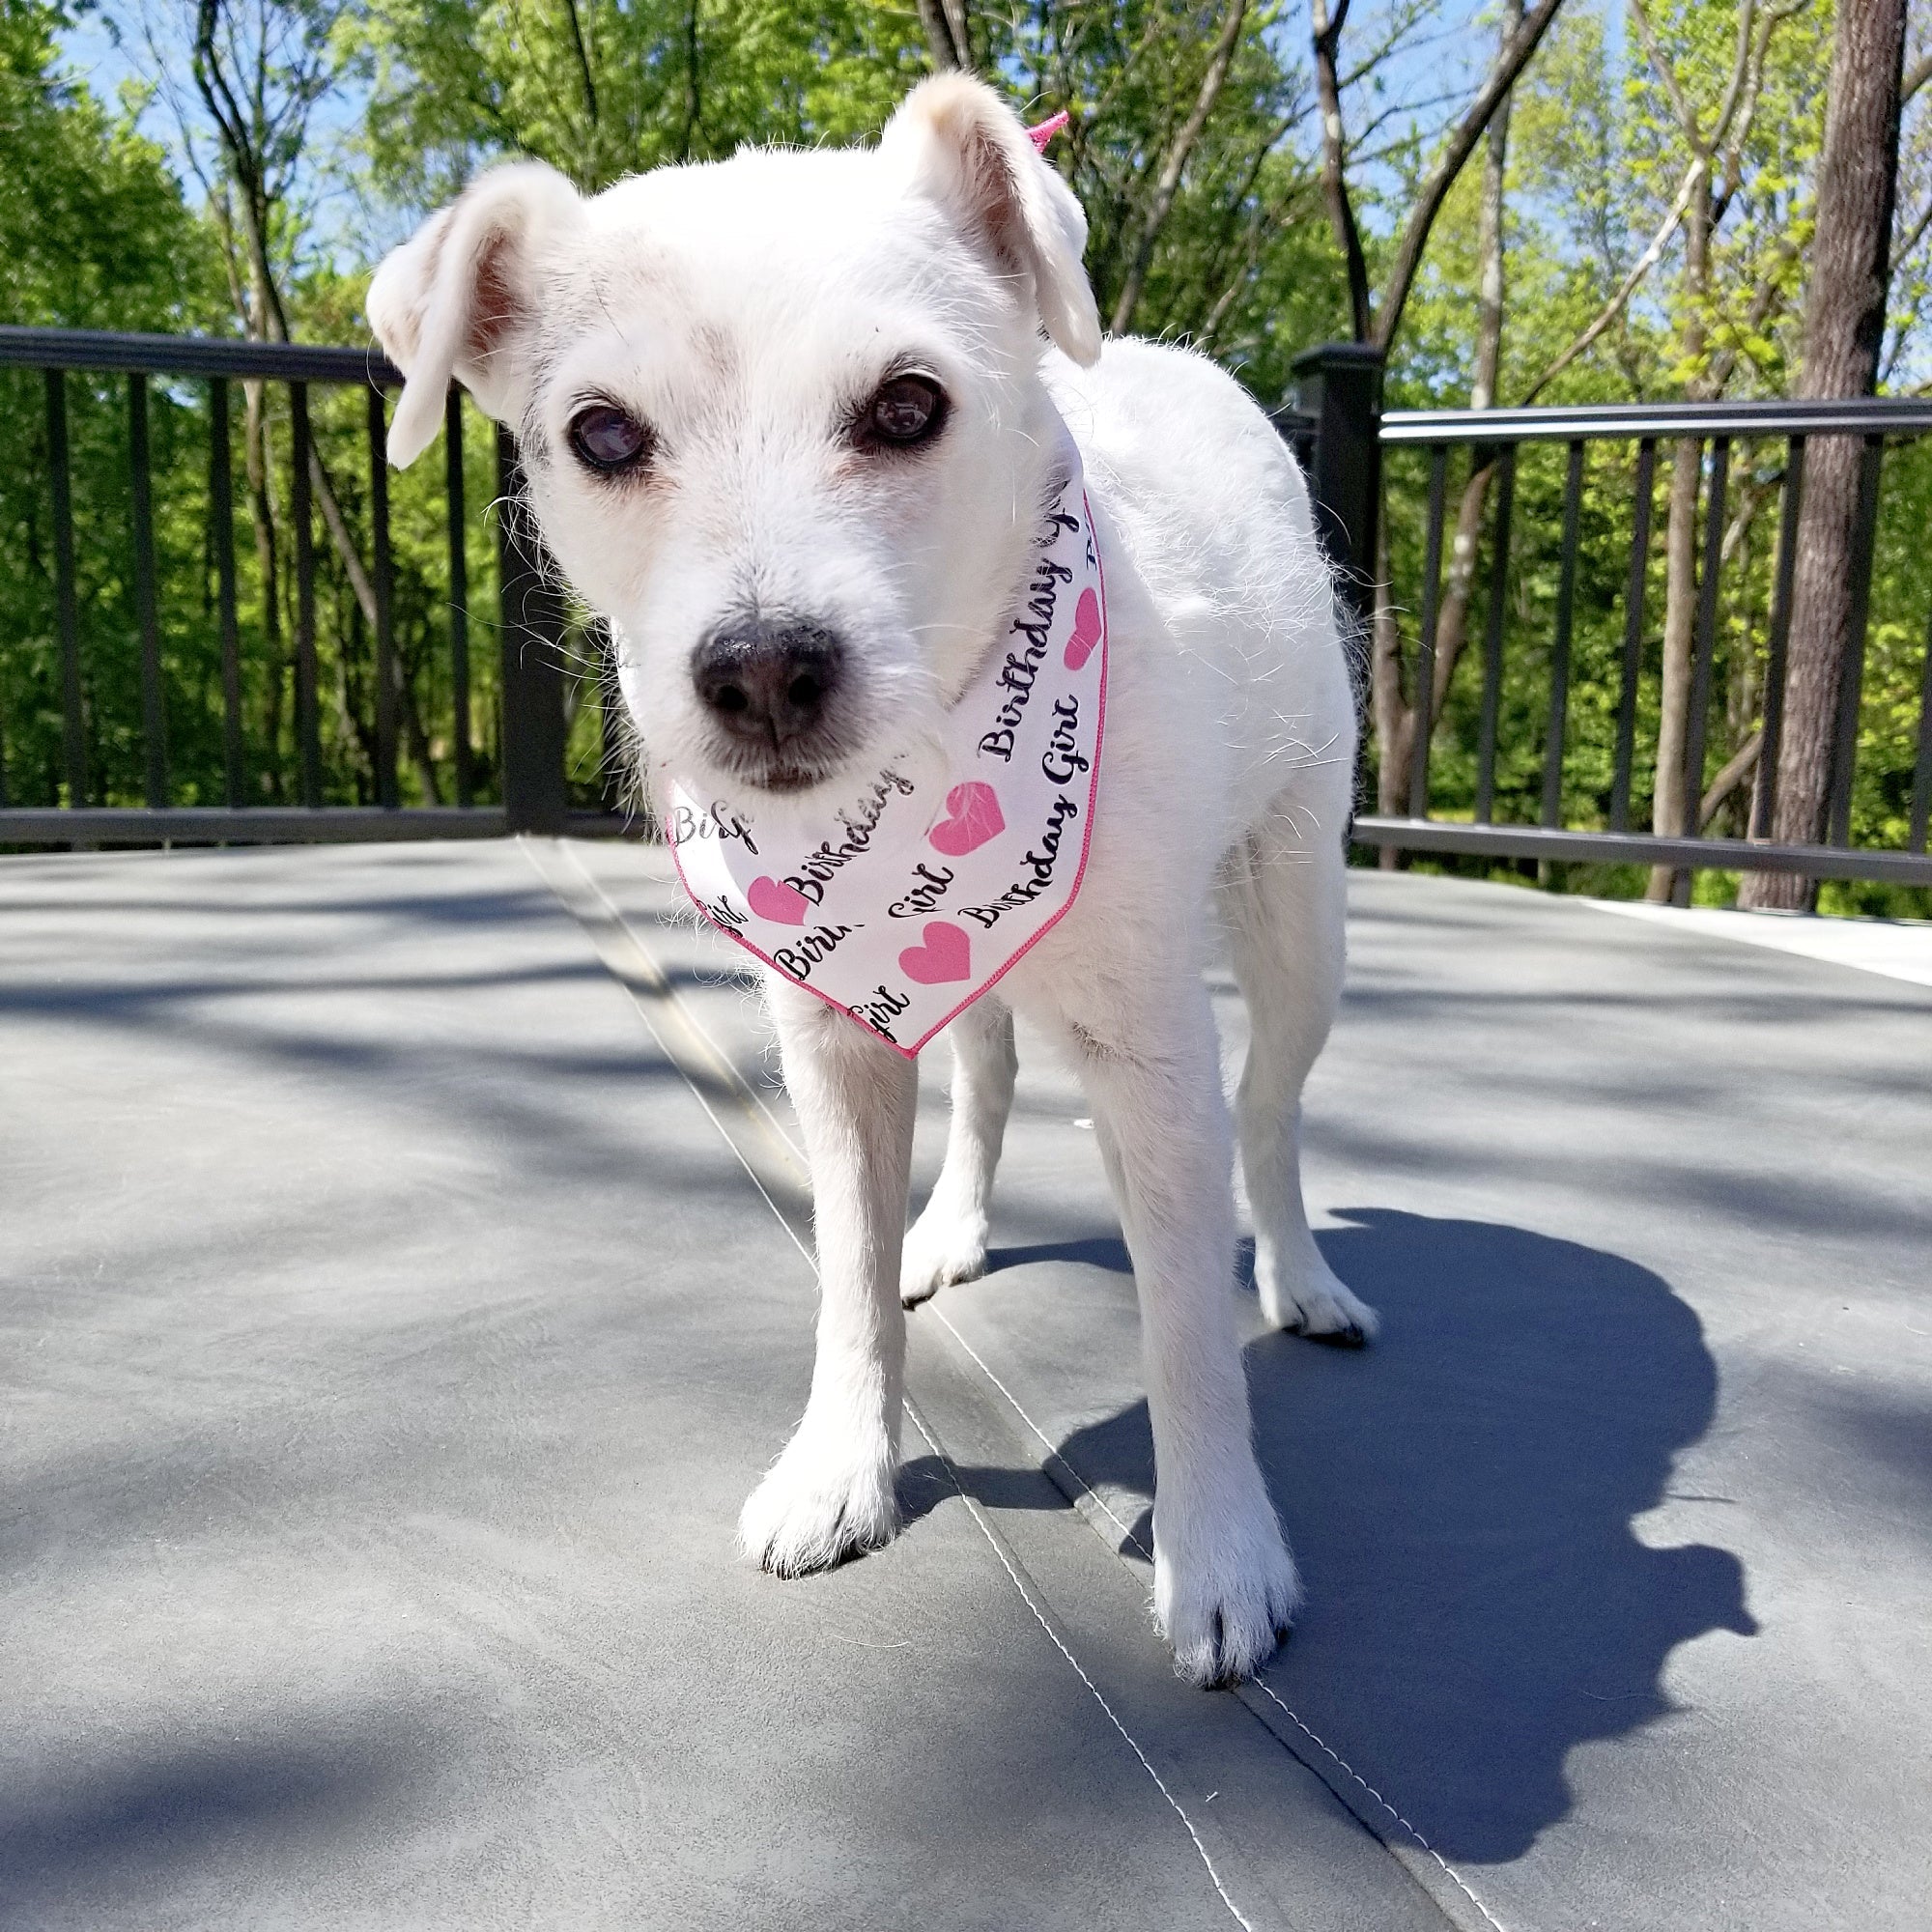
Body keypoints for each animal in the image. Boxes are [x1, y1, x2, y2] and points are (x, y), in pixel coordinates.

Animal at [369, 75, 1376, 1685]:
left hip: (1298, 922)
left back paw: (1300, 1278)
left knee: (1274, 1117)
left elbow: (1181, 1335)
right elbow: (844, 1272)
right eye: (600, 433)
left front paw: (1220, 1554)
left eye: (908, 406)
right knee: (991, 1078)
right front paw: (842, 1466)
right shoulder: (836, 1037)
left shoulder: (1156, 1063)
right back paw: (950, 1231)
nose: (763, 667)